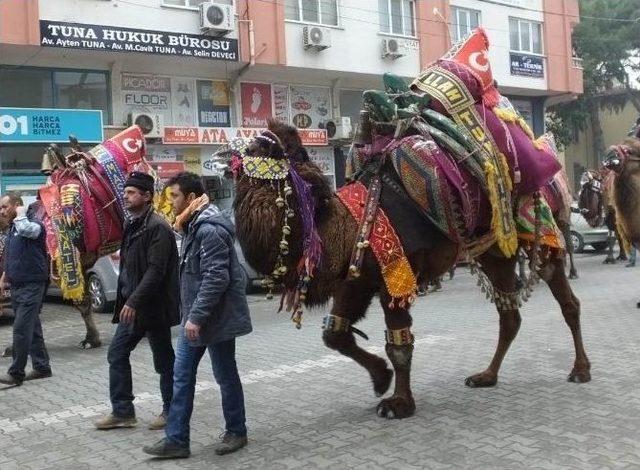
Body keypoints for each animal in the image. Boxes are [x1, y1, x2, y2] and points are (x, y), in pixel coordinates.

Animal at [212, 29, 592, 418]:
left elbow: (398, 344)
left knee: (566, 299)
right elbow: (334, 333)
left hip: (540, 230)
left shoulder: (396, 275)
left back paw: (580, 369)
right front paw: (380, 379)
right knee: (509, 313)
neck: (349, 223)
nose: (228, 155)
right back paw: (486, 375)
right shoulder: (357, 277)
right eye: (252, 154)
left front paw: (398, 403)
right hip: (494, 251)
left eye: (271, 152)